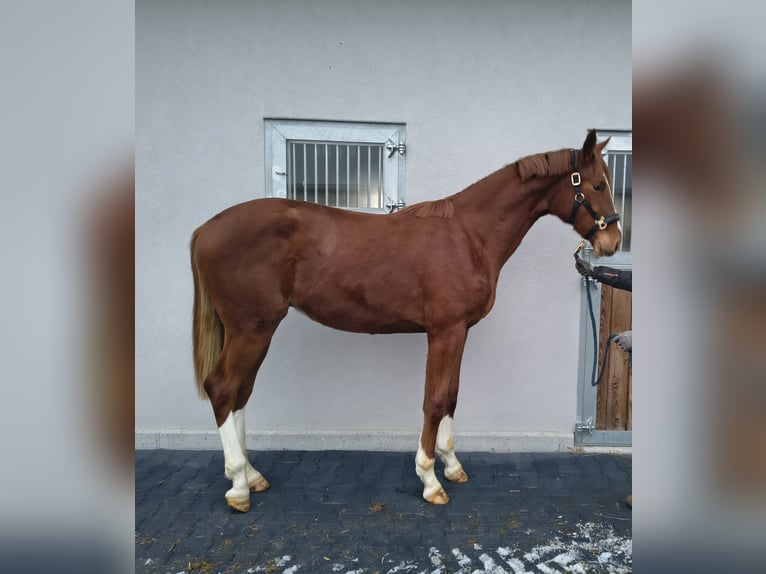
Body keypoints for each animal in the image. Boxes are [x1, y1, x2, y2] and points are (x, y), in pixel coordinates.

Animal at [190, 130, 621, 512]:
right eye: (598, 185)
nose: (613, 242)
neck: (469, 235)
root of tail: (204, 230)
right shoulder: (444, 331)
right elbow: (434, 400)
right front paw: (430, 480)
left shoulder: (459, 332)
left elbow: (451, 395)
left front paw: (452, 466)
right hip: (252, 328)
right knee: (222, 387)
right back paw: (238, 486)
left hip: (253, 330)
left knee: (241, 392)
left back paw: (251, 475)